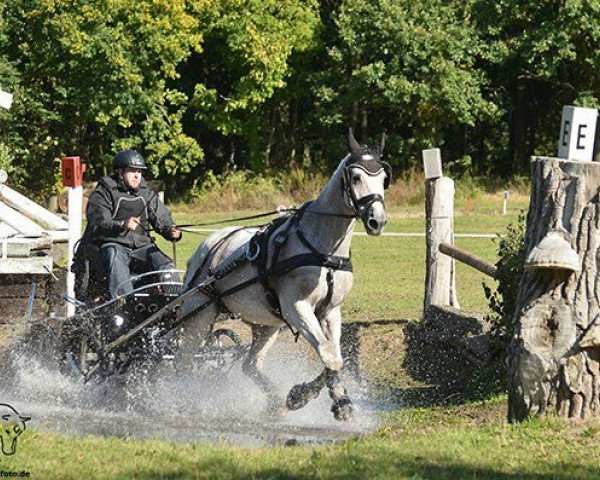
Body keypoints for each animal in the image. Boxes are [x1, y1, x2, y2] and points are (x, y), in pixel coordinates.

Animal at [182, 130, 390, 420]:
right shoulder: (296, 307)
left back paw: (275, 401)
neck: (321, 251)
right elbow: (326, 352)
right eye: (357, 177)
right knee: (182, 359)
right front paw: (311, 396)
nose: (376, 222)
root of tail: (205, 248)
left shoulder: (331, 311)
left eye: (383, 179)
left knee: (251, 364)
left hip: (265, 324)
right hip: (198, 318)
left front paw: (326, 398)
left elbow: (334, 357)